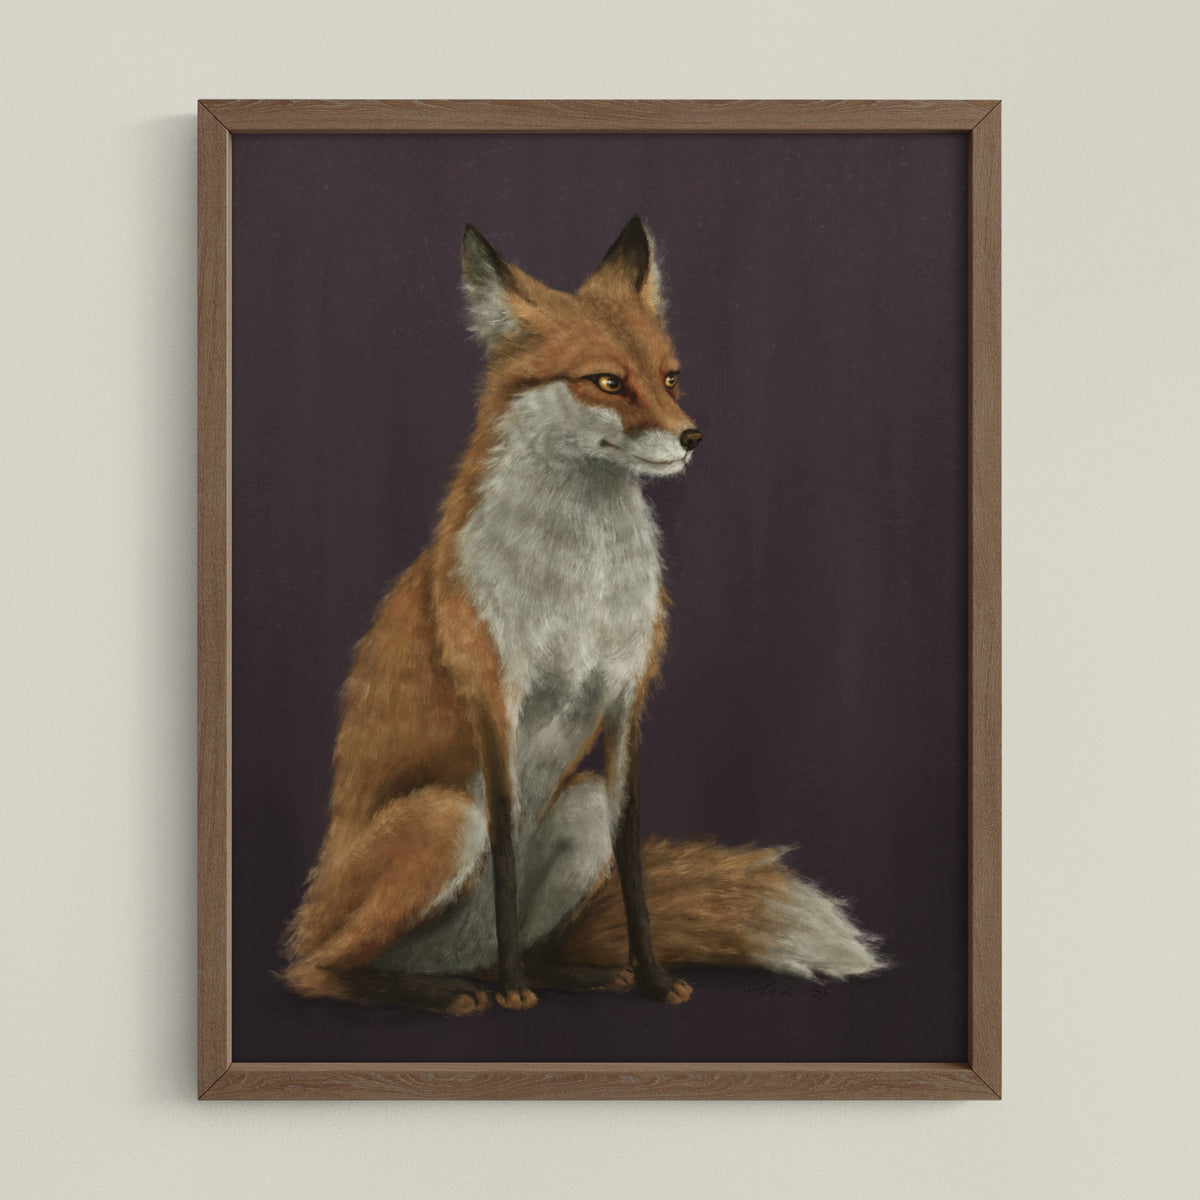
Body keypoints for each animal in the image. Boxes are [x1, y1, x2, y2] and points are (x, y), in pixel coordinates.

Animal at [281, 216, 887, 1015]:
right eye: (607, 381)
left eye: (670, 377)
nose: (693, 437)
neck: (581, 584)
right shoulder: (494, 700)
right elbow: (506, 852)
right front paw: (515, 993)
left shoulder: (626, 699)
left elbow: (632, 863)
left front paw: (652, 978)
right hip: (443, 819)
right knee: (316, 970)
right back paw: (449, 991)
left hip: (580, 805)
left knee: (494, 943)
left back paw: (561, 974)